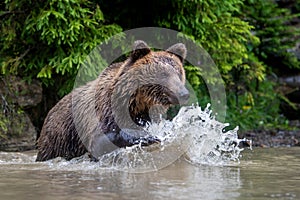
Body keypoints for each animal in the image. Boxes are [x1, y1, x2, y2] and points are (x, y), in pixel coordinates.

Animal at [35, 40, 189, 161]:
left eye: (178, 73)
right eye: (163, 74)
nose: (184, 94)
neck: (137, 103)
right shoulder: (103, 112)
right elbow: (99, 141)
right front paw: (146, 136)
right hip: (58, 139)